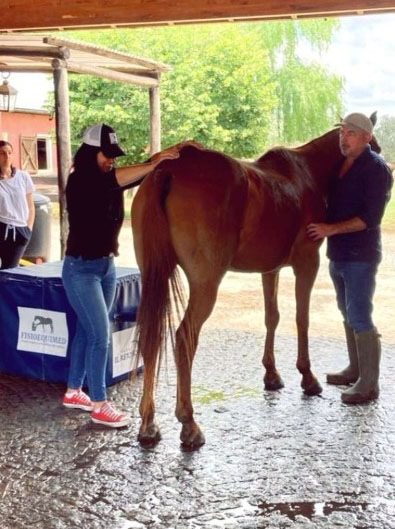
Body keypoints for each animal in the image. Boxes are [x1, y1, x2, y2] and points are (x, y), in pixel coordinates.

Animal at [132, 117, 380, 448]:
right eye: (374, 145)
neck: (307, 172)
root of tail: (168, 169)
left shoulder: (269, 270)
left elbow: (272, 317)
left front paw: (272, 376)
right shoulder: (307, 263)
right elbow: (302, 319)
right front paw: (308, 378)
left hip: (153, 277)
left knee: (152, 334)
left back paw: (148, 424)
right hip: (205, 283)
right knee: (184, 338)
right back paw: (189, 424)